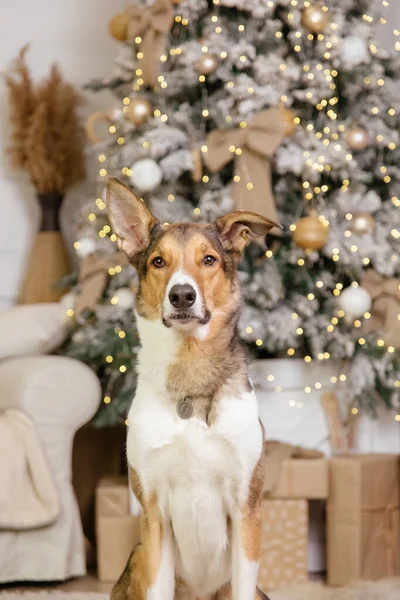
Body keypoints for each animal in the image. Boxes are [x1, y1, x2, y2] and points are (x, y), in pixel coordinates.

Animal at [108, 178, 280, 600]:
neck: (190, 372)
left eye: (209, 260)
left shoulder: (246, 506)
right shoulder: (152, 510)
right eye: (158, 262)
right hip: (135, 557)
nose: (182, 295)